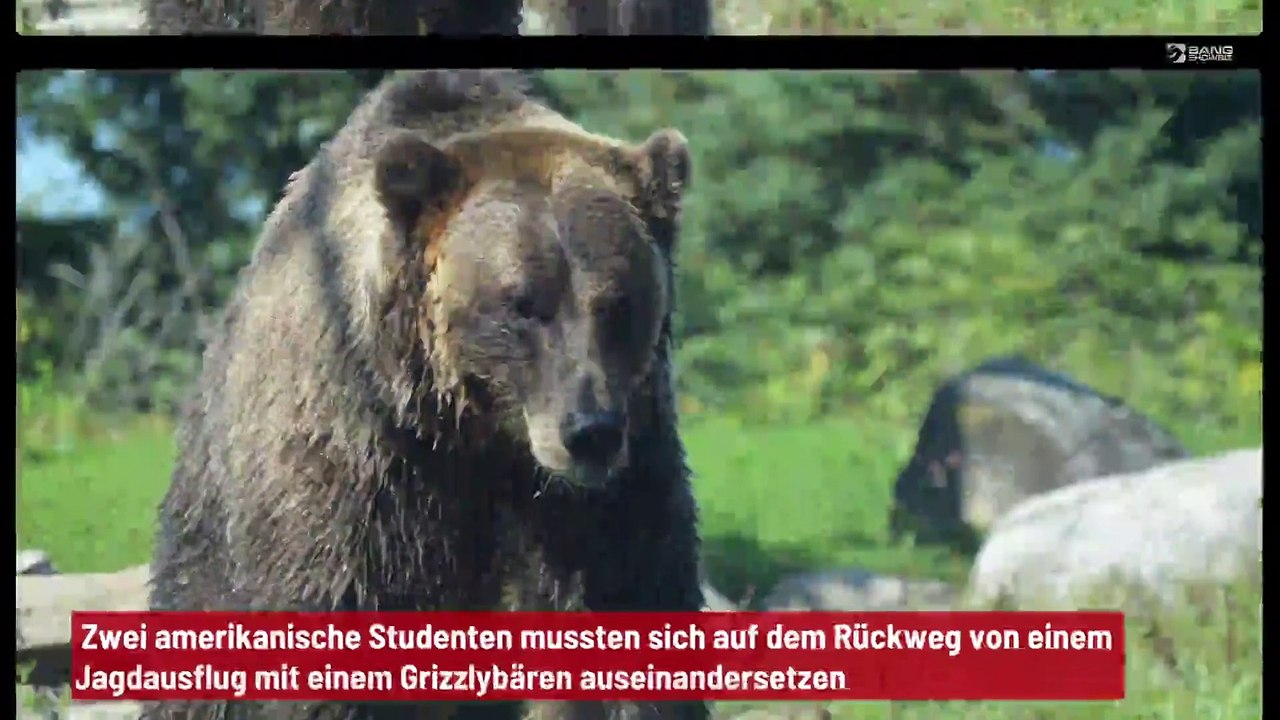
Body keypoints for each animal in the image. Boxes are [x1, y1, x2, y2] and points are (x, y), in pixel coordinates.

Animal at [147, 70, 711, 717]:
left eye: (618, 301)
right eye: (522, 303)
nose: (588, 432)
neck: (476, 430)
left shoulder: (618, 481)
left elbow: (629, 602)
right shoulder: (361, 463)